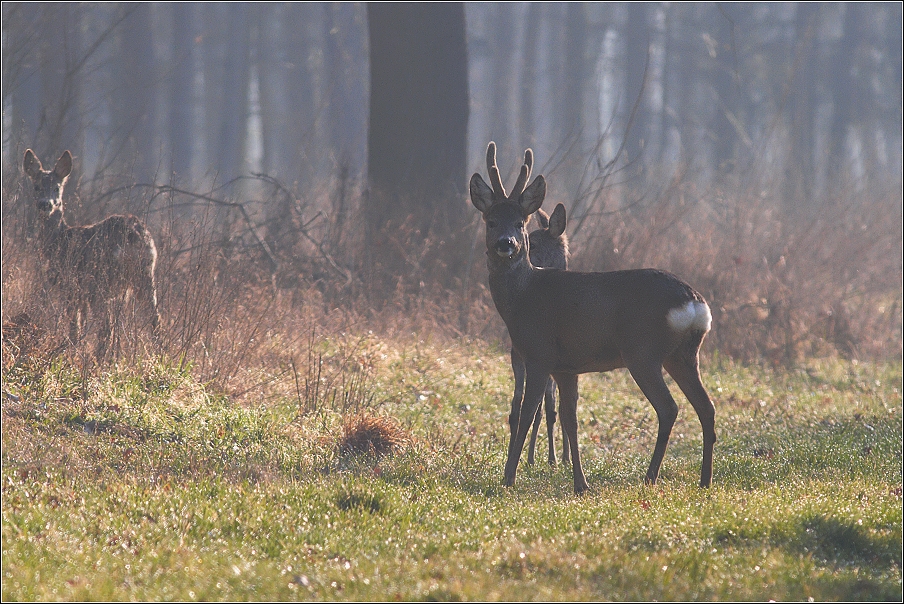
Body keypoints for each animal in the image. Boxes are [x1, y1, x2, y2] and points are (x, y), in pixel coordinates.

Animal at [22, 149, 161, 360]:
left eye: (56, 187)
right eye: (37, 187)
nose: (45, 204)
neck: (59, 241)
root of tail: (135, 235)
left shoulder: (70, 286)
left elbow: (74, 326)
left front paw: (71, 353)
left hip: (99, 280)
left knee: (106, 328)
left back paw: (98, 361)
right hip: (144, 274)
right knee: (155, 319)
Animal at [470, 143, 716, 496]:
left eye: (519, 222)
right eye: (491, 221)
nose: (507, 244)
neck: (524, 298)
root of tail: (695, 303)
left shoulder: (539, 353)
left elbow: (528, 413)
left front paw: (509, 477)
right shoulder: (566, 367)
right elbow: (569, 419)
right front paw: (580, 483)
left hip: (642, 352)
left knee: (669, 408)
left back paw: (650, 477)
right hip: (683, 355)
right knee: (706, 407)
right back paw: (705, 480)